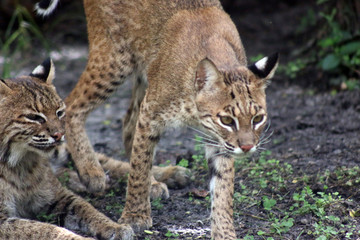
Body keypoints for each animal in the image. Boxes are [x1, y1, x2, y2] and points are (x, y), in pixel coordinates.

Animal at [0, 59, 134, 239]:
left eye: (59, 112)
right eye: (34, 117)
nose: (60, 135)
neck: (19, 162)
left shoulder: (57, 195)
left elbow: (86, 207)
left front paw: (115, 227)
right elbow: (42, 229)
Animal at [36, 0, 278, 238]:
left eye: (258, 118)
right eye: (227, 120)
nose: (247, 147)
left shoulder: (219, 141)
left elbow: (223, 189)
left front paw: (224, 233)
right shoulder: (151, 115)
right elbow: (140, 163)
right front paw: (135, 216)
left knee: (127, 124)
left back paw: (156, 179)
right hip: (115, 58)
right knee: (72, 105)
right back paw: (91, 171)